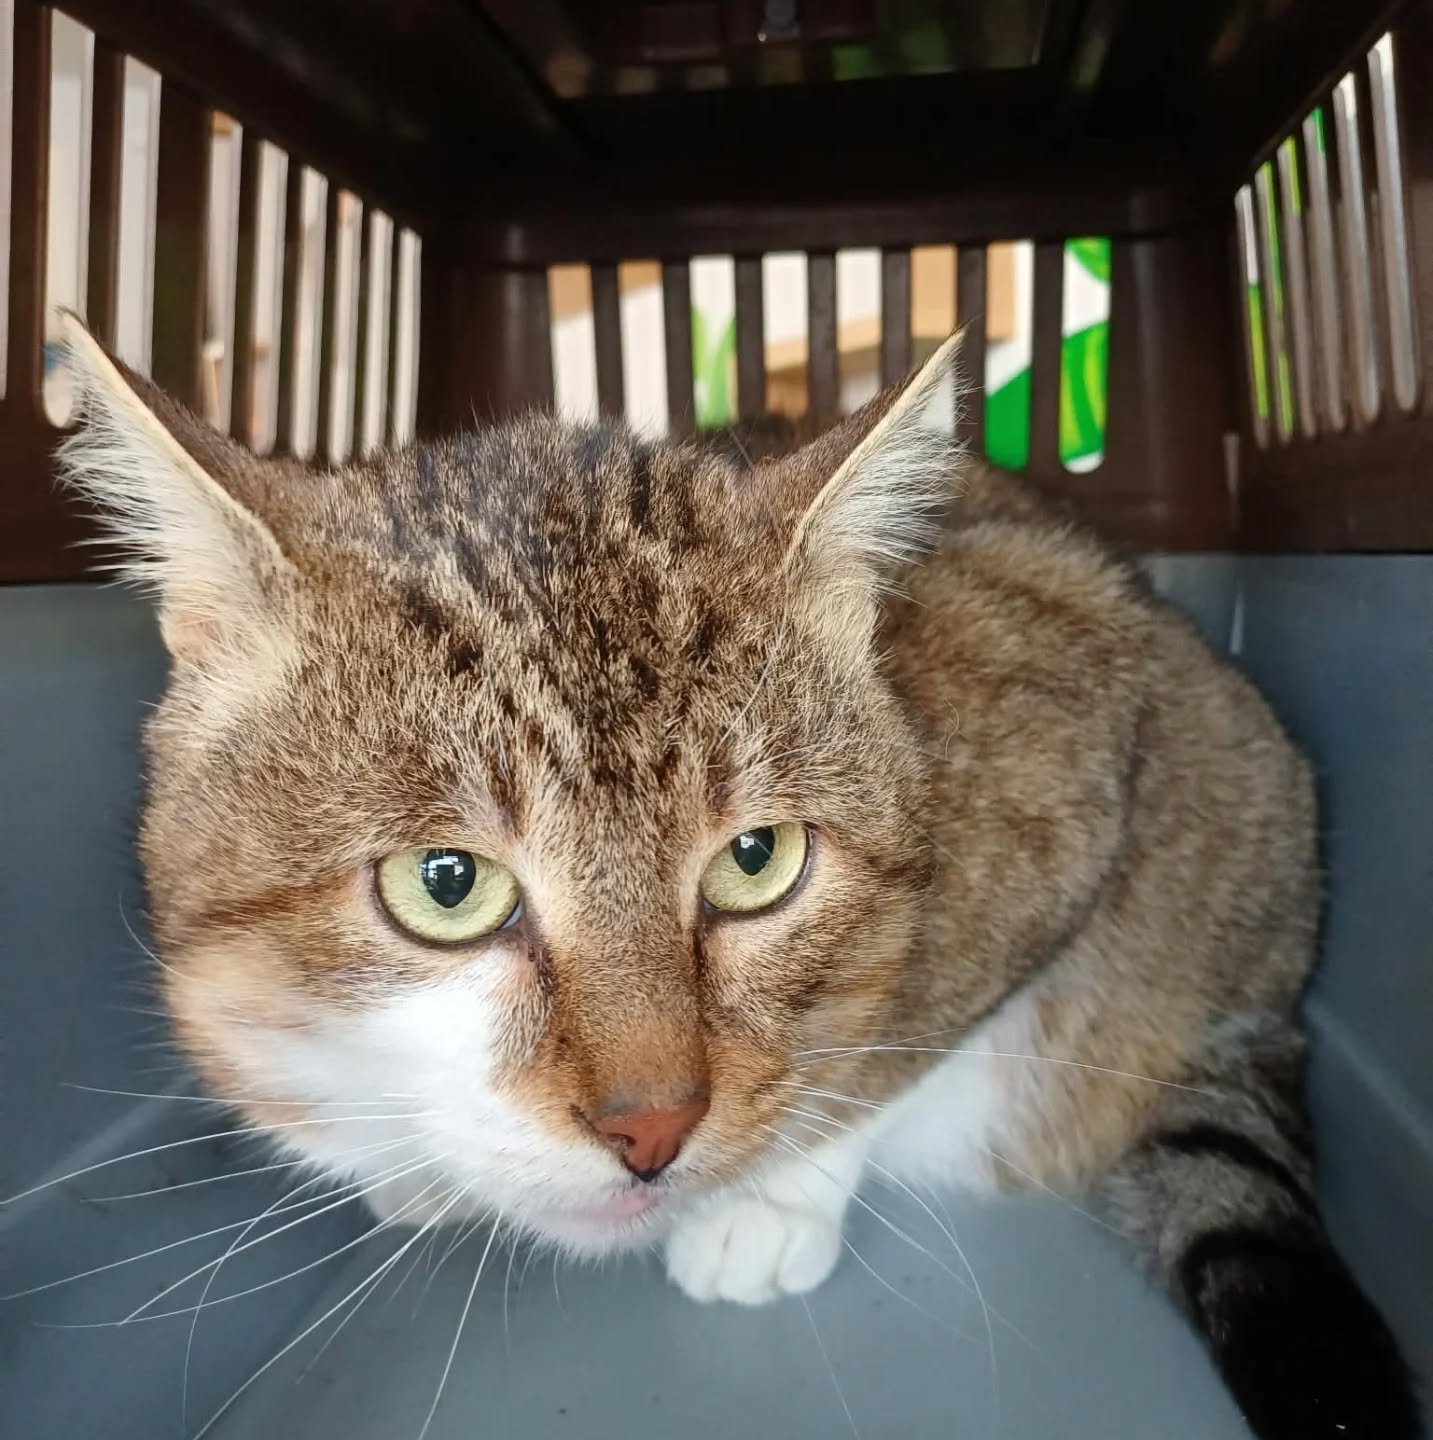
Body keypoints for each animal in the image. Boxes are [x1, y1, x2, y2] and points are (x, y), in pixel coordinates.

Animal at [57, 313, 1421, 1439]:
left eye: (755, 861)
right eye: (446, 882)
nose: (652, 1130)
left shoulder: (1064, 742)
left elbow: (888, 1035)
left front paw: (768, 1200)